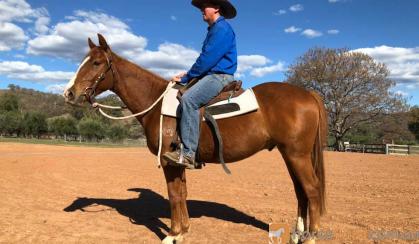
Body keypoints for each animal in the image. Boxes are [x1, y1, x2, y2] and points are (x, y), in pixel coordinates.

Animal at [65, 34, 328, 244]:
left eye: (97, 63)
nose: (69, 93)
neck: (156, 103)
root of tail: (307, 93)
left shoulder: (169, 162)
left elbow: (174, 195)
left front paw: (172, 234)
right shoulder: (180, 162)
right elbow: (182, 194)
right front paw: (183, 231)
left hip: (297, 155)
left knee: (312, 190)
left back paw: (311, 237)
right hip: (290, 154)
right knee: (300, 191)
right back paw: (297, 234)